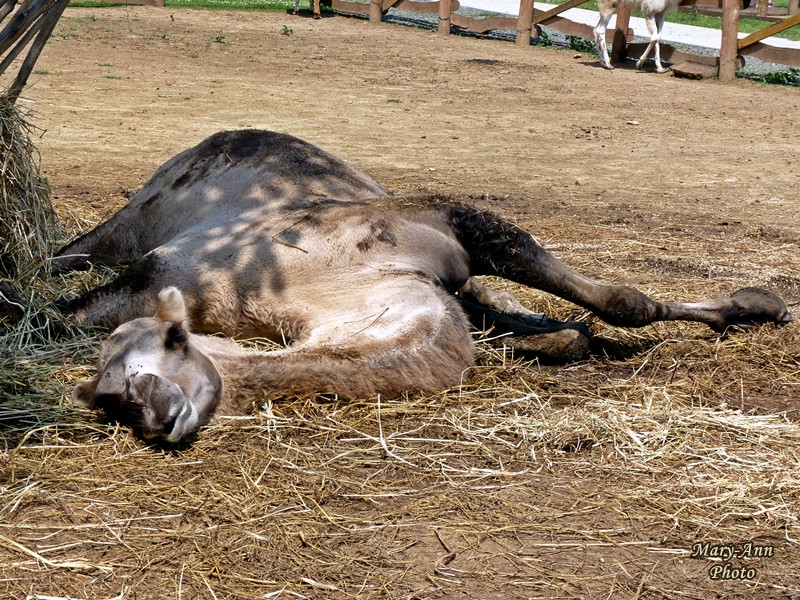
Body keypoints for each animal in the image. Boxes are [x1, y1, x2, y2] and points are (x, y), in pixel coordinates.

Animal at [51, 129, 792, 442]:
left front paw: (753, 307)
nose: (138, 410)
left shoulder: (452, 230)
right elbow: (573, 323)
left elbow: (605, 307)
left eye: (150, 359)